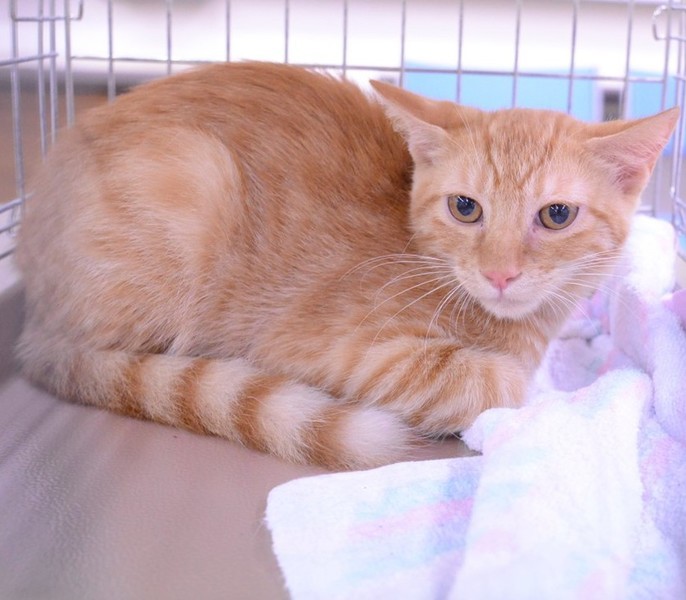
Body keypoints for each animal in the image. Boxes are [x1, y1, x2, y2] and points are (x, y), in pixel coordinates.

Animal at [15, 61, 677, 470]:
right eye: (466, 208)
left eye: (557, 215)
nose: (500, 273)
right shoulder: (319, 344)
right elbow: (496, 380)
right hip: (191, 181)